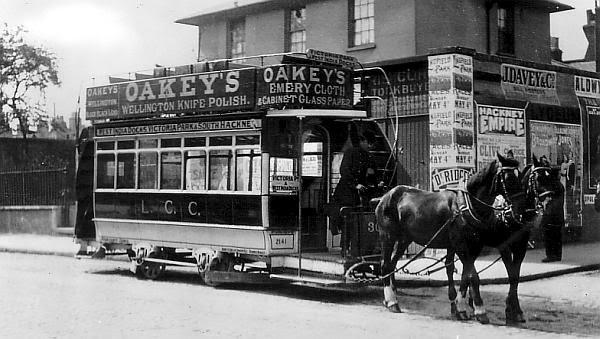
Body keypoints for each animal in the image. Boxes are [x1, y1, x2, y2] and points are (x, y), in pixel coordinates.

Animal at [378, 154, 528, 324]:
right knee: (385, 265)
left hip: (404, 239)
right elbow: (473, 277)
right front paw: (480, 310)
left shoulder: (473, 246)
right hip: (388, 236)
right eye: (509, 178)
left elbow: (464, 276)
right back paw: (392, 301)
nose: (522, 207)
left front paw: (460, 309)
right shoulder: (462, 246)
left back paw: (390, 298)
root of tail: (387, 195)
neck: (467, 206)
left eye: (520, 175)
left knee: (392, 264)